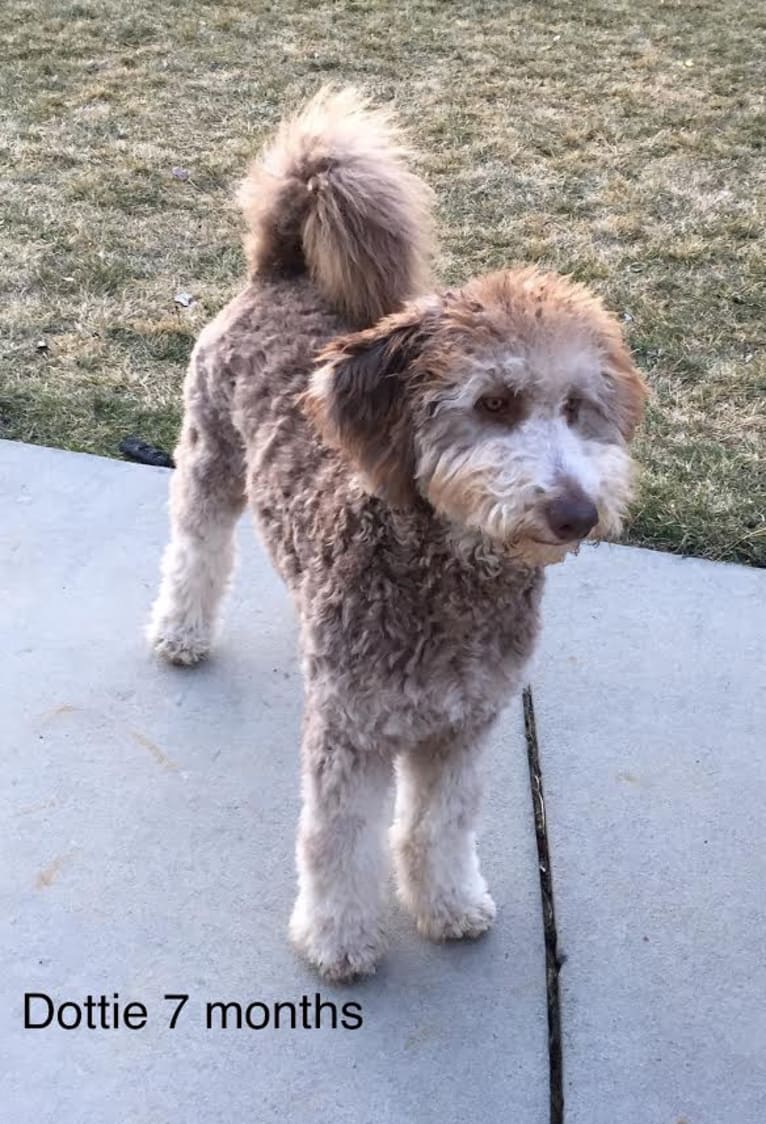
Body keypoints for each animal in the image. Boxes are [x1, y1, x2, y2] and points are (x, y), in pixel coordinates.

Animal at [146, 87, 643, 980]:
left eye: (578, 407)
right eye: (493, 404)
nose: (577, 513)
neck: (451, 580)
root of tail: (281, 270)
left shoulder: (463, 726)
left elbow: (439, 826)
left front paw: (448, 906)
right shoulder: (353, 728)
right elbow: (338, 842)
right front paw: (339, 939)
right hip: (209, 457)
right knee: (196, 551)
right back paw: (180, 632)